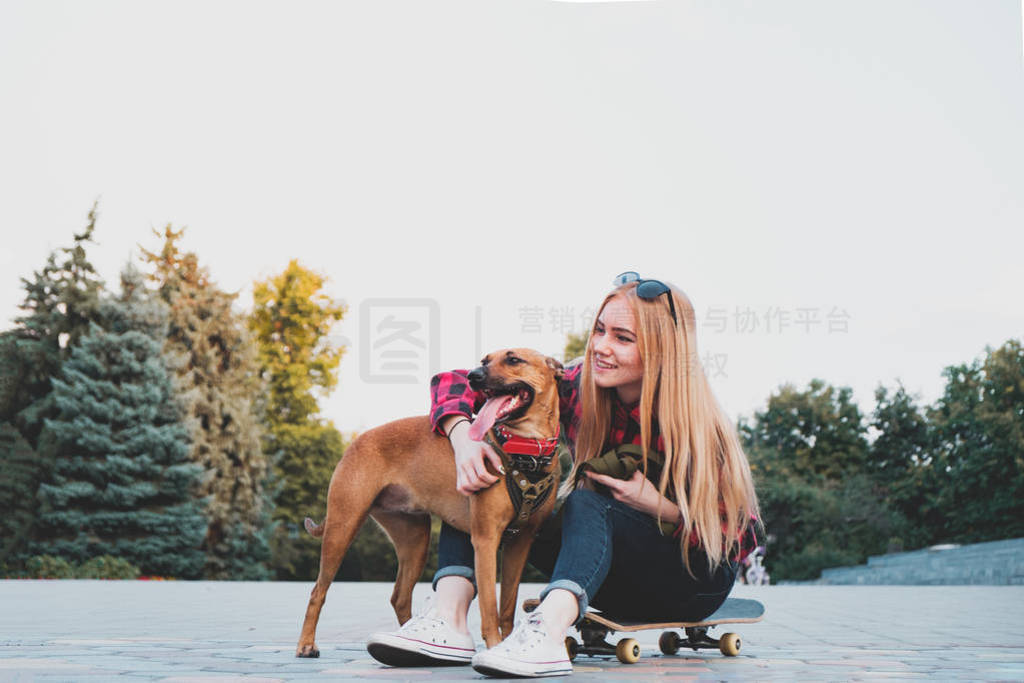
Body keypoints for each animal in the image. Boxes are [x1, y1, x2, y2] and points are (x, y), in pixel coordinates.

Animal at [296, 350, 565, 659]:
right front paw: (495, 645)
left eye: (514, 360)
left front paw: (506, 645)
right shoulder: (485, 540)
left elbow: (507, 607)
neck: (527, 450)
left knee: (400, 596)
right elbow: (489, 607)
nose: (473, 376)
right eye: (484, 361)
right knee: (317, 591)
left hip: (415, 540)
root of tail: (356, 441)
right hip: (343, 527)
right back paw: (306, 644)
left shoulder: (520, 543)